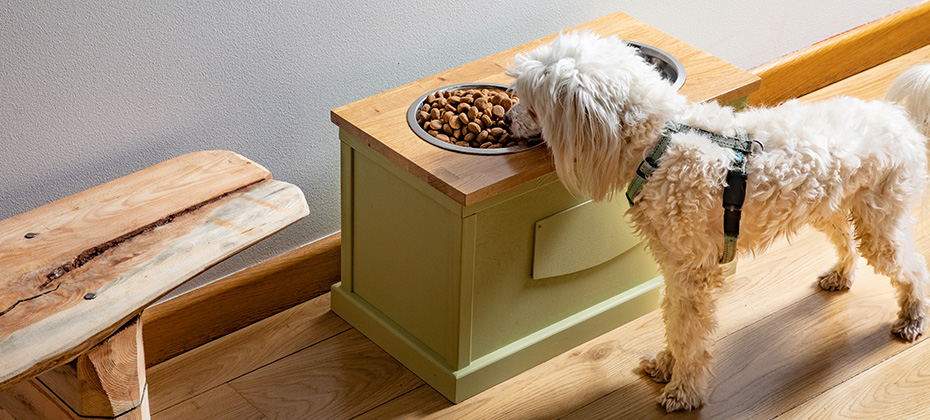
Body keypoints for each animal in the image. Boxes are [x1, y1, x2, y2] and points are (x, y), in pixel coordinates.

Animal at [504, 31, 928, 412]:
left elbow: (688, 333)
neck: (660, 141)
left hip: (881, 223)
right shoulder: (675, 268)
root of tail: (901, 120)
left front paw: (683, 392)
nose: (507, 119)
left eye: (530, 102)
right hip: (830, 209)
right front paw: (666, 365)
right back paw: (841, 276)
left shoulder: (693, 273)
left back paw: (913, 318)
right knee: (848, 244)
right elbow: (673, 322)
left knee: (914, 269)